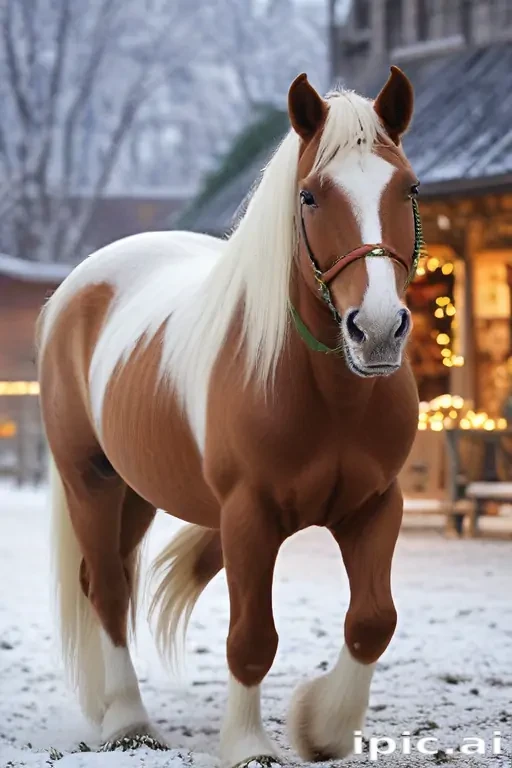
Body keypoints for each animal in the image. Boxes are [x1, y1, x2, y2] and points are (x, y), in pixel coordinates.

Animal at [37, 66, 423, 766]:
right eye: (310, 196)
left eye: (408, 187)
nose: (378, 330)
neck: (329, 395)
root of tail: (79, 289)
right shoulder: (248, 516)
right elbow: (251, 637)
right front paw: (248, 744)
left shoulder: (376, 506)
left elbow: (373, 621)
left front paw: (322, 727)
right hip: (90, 480)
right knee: (106, 588)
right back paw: (128, 720)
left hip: (138, 492)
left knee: (111, 578)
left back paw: (111, 707)